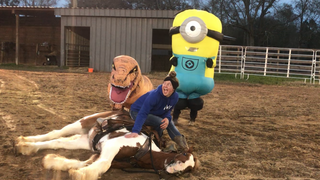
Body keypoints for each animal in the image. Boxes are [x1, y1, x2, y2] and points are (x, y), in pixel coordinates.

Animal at [15, 109, 200, 180]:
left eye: (189, 169)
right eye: (184, 155)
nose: (174, 170)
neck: (145, 151)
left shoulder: (101, 153)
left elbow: (85, 162)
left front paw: (56, 163)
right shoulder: (111, 148)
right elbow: (103, 165)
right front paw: (79, 174)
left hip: (85, 140)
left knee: (58, 141)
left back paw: (25, 145)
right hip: (82, 122)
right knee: (57, 133)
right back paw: (24, 142)